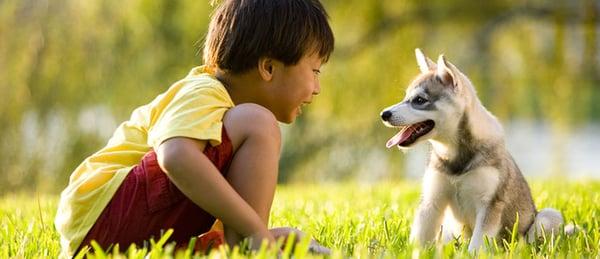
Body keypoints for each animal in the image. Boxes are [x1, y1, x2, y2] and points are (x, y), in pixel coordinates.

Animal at [382, 48, 564, 252]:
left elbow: (477, 244)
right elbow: (419, 237)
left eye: (419, 100)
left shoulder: (489, 205)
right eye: (405, 98)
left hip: (549, 217)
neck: (455, 155)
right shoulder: (432, 201)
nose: (384, 114)